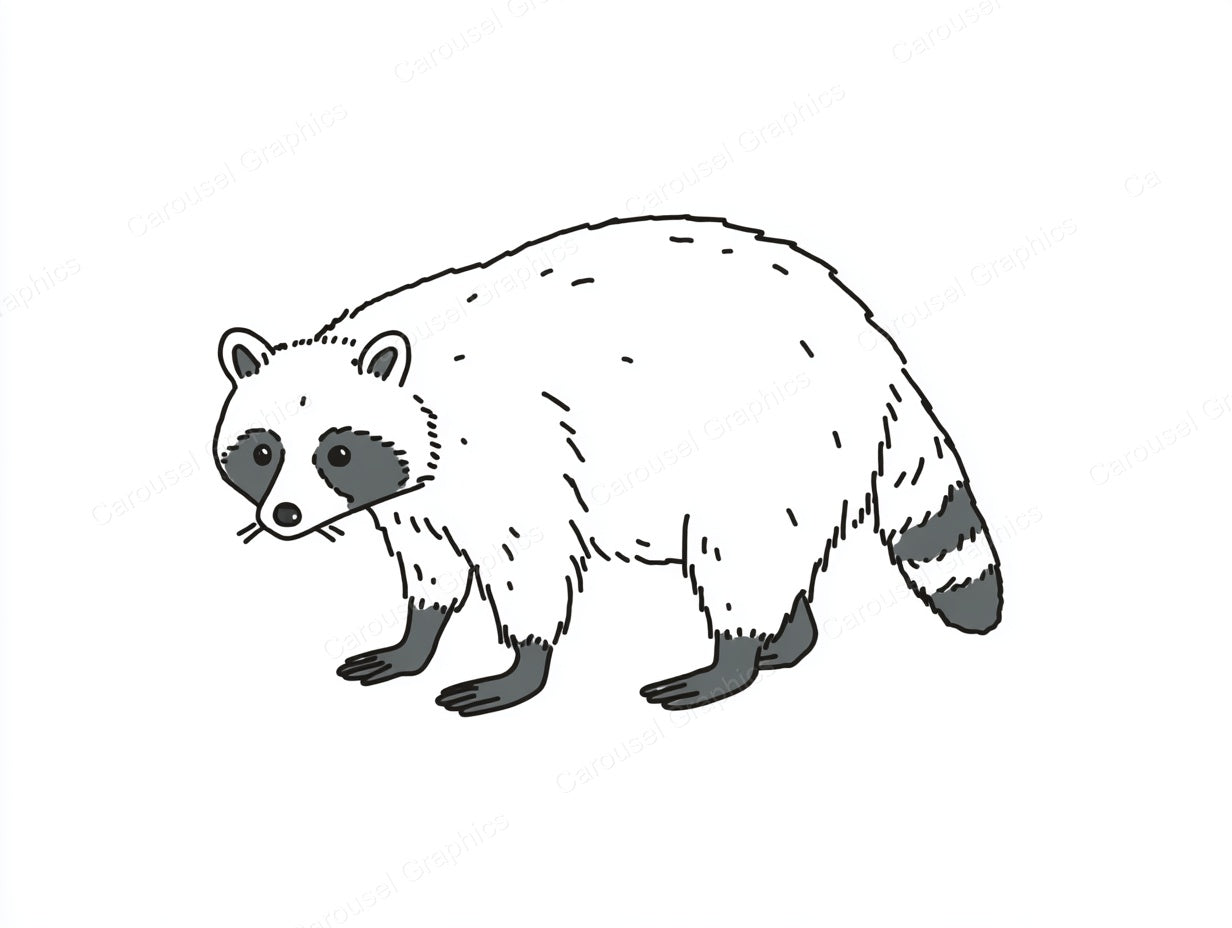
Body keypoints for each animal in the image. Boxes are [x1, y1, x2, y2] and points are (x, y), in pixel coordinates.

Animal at [213, 215, 1003, 717]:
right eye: (262, 451)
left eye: (338, 452)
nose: (284, 515)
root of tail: (878, 350)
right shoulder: (420, 501)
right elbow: (431, 566)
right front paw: (416, 637)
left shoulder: (510, 455)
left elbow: (529, 566)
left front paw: (522, 666)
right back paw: (785, 638)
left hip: (774, 441)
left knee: (738, 549)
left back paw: (734, 658)